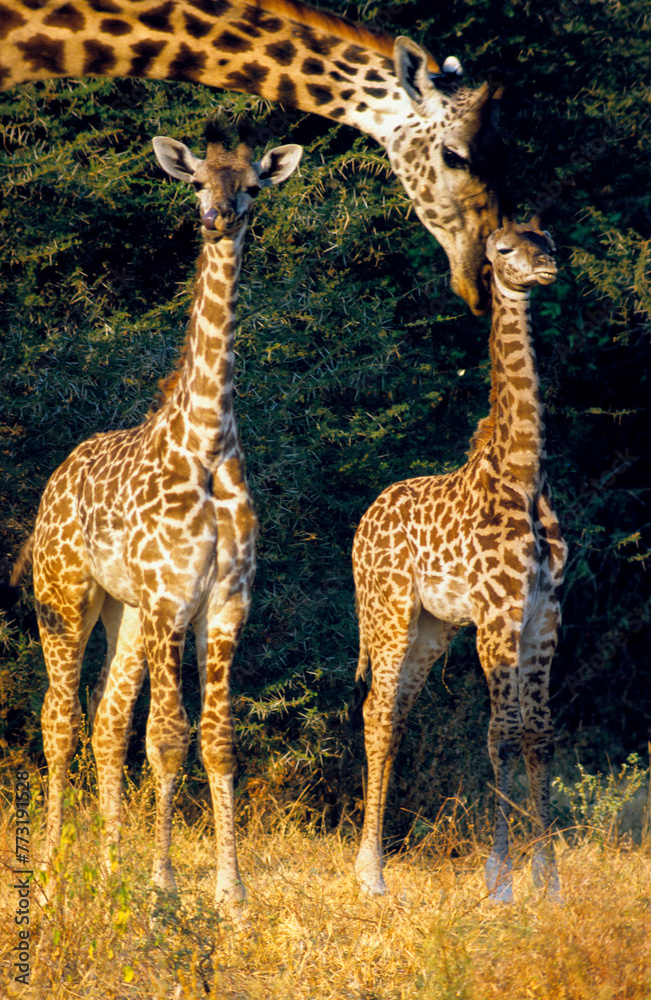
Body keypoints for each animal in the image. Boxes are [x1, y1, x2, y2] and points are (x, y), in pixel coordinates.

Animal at [26, 117, 302, 907]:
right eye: (198, 181)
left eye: (251, 186)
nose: (217, 218)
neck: (206, 445)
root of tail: (54, 481)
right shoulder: (169, 599)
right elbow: (169, 738)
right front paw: (163, 888)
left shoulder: (225, 603)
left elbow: (216, 740)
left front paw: (229, 893)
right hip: (65, 597)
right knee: (59, 719)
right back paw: (51, 874)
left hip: (121, 611)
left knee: (106, 721)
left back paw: (107, 865)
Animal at [352, 218, 567, 903]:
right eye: (503, 249)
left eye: (547, 238)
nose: (546, 267)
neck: (524, 474)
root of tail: (360, 528)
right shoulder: (497, 616)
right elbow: (501, 735)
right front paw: (500, 878)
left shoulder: (545, 616)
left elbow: (539, 734)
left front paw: (548, 879)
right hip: (389, 613)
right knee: (377, 711)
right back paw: (370, 873)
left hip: (431, 627)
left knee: (392, 713)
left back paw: (374, 864)